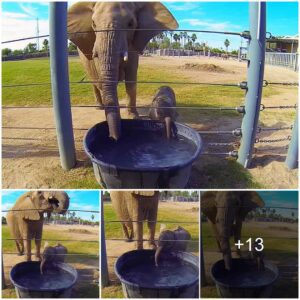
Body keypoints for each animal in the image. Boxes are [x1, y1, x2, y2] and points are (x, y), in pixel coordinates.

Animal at [68, 2, 178, 141]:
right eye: (93, 24)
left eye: (131, 24)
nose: (114, 138)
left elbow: (131, 76)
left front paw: (132, 117)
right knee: (94, 81)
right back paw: (99, 107)